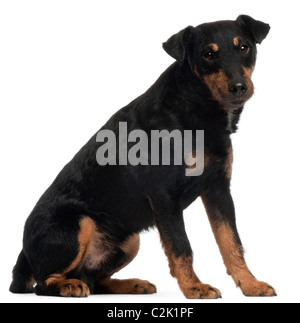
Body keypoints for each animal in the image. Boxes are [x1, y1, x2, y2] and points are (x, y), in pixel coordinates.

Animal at [9, 14, 276, 298]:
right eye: (208, 54)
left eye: (244, 48)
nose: (239, 87)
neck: (195, 106)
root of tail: (23, 255)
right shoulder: (165, 197)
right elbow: (181, 247)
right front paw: (194, 287)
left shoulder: (218, 190)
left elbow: (232, 242)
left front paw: (250, 284)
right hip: (79, 223)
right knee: (45, 283)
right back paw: (68, 286)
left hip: (130, 240)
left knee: (95, 279)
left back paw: (131, 284)